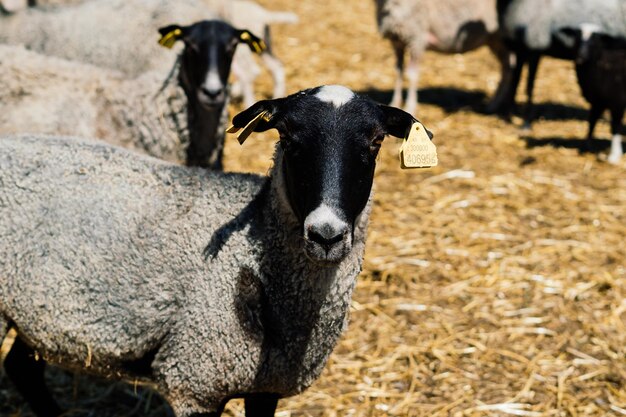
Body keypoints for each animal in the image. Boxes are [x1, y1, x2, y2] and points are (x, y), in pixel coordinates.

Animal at [0, 84, 428, 416]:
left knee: (22, 367)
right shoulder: (194, 379)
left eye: (375, 141)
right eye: (288, 138)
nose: (326, 235)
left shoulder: (265, 386)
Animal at [370, 0, 512, 114]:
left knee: (510, 67)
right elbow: (398, 71)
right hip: (495, 41)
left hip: (501, 37)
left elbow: (412, 75)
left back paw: (496, 104)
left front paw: (410, 107)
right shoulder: (398, 41)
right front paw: (394, 103)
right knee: (507, 67)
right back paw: (498, 104)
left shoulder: (417, 38)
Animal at [492, 0, 624, 128]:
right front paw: (508, 118)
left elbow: (529, 86)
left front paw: (526, 123)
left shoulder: (535, 46)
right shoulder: (518, 49)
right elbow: (515, 83)